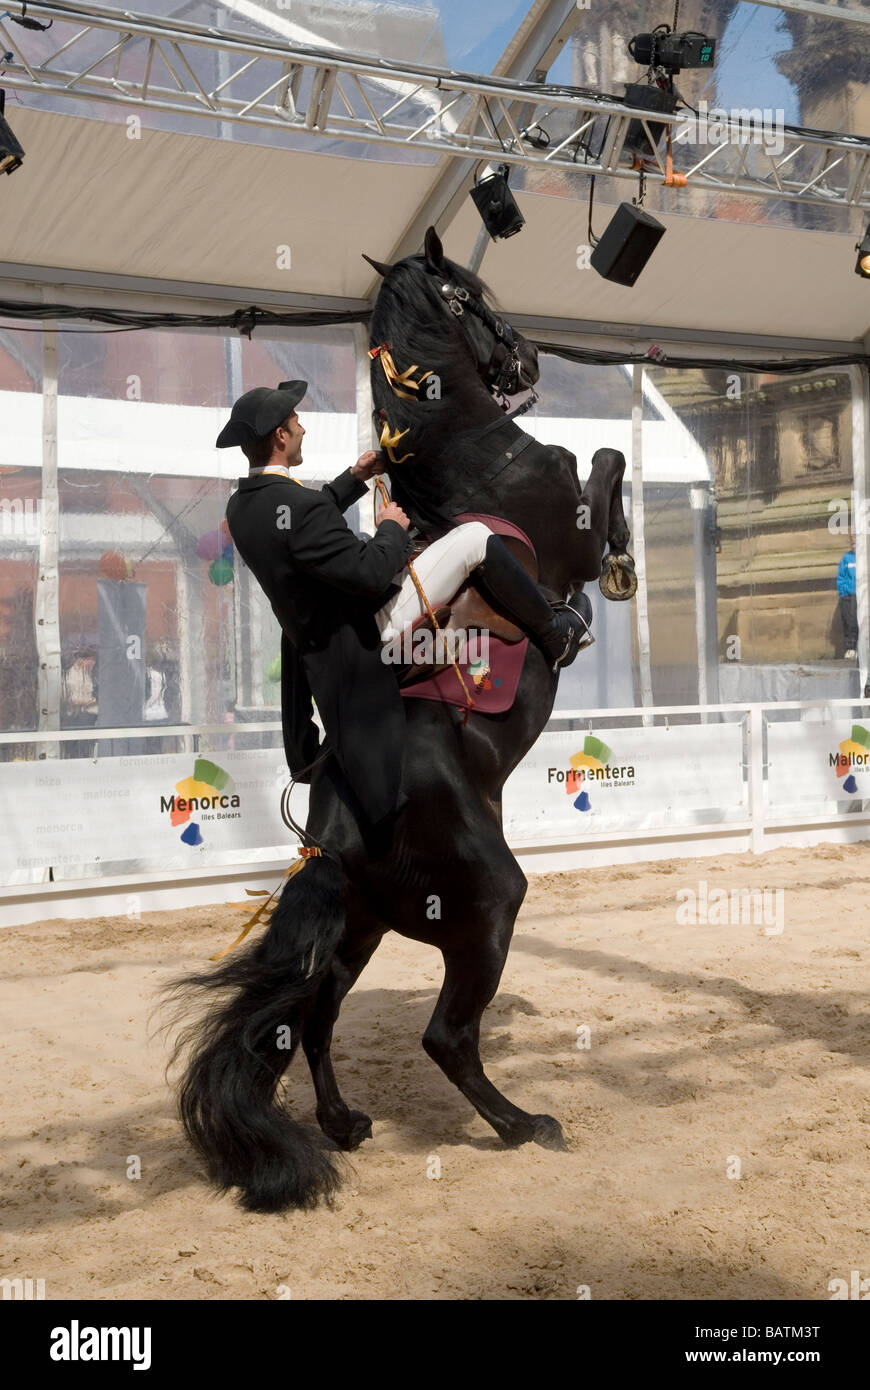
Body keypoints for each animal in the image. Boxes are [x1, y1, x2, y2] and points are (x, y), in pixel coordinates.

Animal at [167, 225, 630, 1206]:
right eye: (475, 293)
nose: (528, 358)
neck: (471, 450)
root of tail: (331, 832)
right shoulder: (562, 525)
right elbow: (606, 466)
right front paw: (619, 569)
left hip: (366, 922)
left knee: (311, 1016)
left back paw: (344, 1124)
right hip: (487, 898)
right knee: (444, 1036)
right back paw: (524, 1125)